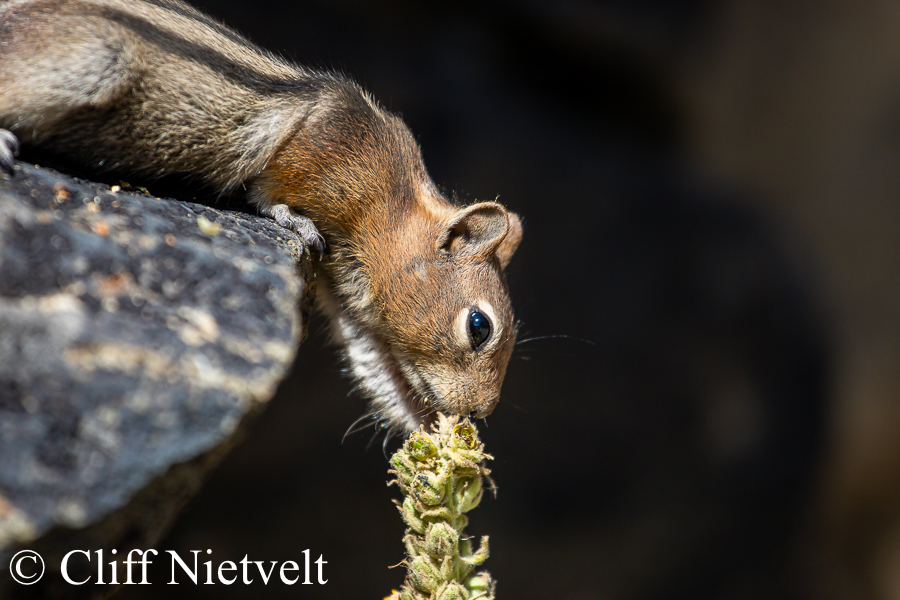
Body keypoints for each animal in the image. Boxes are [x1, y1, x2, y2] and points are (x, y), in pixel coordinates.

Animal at [0, 0, 520, 432]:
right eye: (479, 327)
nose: (480, 413)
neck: (391, 200)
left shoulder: (352, 300)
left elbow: (380, 372)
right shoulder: (312, 151)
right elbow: (267, 189)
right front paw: (290, 216)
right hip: (91, 60)